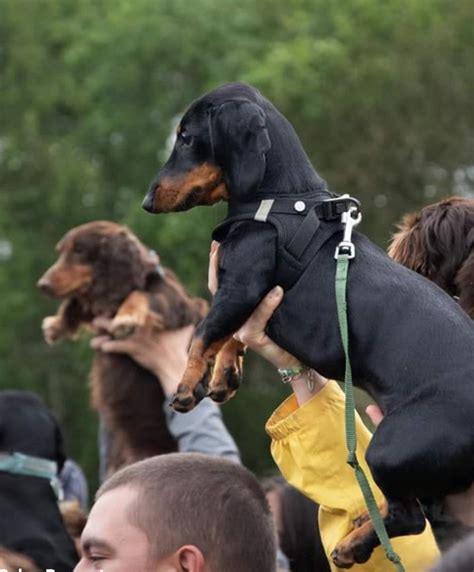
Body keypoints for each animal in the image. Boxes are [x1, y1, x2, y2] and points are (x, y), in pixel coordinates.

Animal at [38, 221, 206, 476]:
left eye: (79, 251)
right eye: (61, 251)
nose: (42, 285)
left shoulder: (179, 304)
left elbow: (140, 294)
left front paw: (126, 318)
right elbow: (75, 303)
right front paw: (56, 325)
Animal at [143, 84, 474, 568]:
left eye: (186, 137)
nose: (147, 201)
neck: (280, 200)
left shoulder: (240, 285)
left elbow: (204, 332)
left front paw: (188, 386)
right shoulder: (246, 299)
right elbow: (230, 335)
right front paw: (223, 375)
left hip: (389, 445)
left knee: (411, 519)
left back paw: (352, 545)